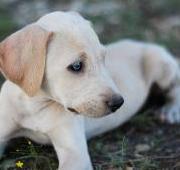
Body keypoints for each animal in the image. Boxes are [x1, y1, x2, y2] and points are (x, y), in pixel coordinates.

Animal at [0, 10, 180, 170]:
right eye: (76, 66)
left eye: (103, 58)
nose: (118, 103)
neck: (34, 106)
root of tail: (142, 43)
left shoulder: (76, 154)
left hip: (162, 67)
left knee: (175, 88)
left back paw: (170, 110)